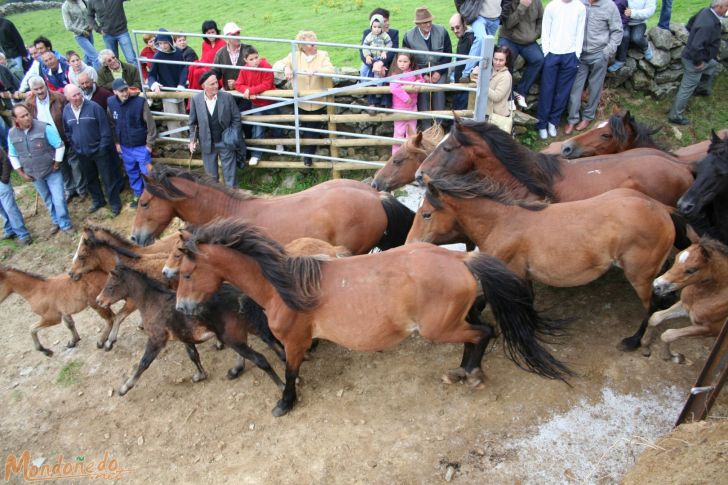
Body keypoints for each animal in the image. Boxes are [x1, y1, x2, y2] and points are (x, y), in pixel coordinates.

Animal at [173, 219, 572, 416]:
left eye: (187, 274)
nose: (181, 309)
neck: (282, 285)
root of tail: (460, 257)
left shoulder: (296, 341)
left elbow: (288, 371)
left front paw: (284, 403)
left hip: (439, 328)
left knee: (484, 332)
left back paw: (471, 374)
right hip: (454, 320)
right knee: (477, 334)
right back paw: (460, 371)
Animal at [410, 172, 676, 350]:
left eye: (426, 214)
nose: (410, 243)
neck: (501, 223)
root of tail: (660, 208)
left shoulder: (512, 273)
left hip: (640, 276)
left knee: (652, 306)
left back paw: (634, 341)